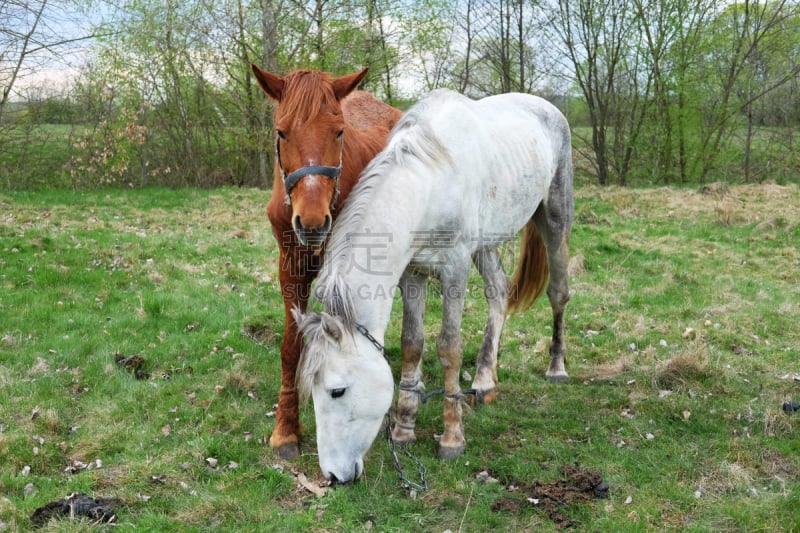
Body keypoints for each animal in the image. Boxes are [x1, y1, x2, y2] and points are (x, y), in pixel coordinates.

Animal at [253, 65, 404, 458]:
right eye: (281, 131)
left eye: (338, 131)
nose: (312, 222)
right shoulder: (290, 269)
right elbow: (291, 348)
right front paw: (286, 427)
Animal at [294, 88, 576, 482]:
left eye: (337, 391)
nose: (333, 476)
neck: (430, 182)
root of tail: (547, 106)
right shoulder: (413, 273)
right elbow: (412, 344)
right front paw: (404, 428)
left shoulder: (454, 270)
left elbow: (449, 349)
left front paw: (452, 438)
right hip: (487, 243)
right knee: (498, 292)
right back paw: (485, 380)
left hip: (555, 218)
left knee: (558, 293)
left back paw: (556, 368)